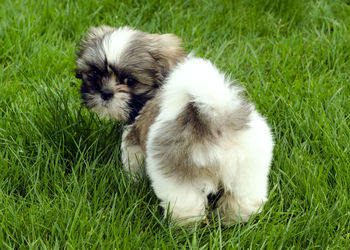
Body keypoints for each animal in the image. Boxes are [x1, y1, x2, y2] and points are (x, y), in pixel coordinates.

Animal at [76, 26, 274, 225]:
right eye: (95, 73)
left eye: (129, 81)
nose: (105, 92)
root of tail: (217, 118)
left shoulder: (133, 142)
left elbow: (133, 163)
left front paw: (132, 182)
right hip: (249, 167)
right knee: (244, 197)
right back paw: (235, 221)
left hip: (177, 170)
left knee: (186, 203)